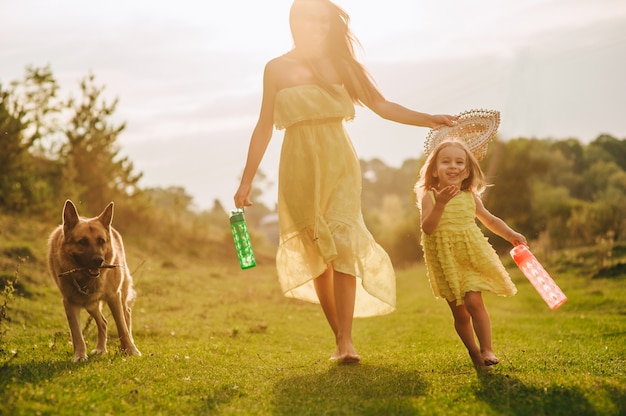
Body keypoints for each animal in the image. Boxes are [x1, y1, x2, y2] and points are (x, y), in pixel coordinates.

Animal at [47, 201, 140, 360]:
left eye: (101, 241)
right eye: (82, 242)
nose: (98, 260)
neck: (85, 278)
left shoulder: (114, 296)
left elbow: (121, 327)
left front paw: (130, 350)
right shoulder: (69, 303)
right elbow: (77, 334)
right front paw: (79, 356)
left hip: (119, 296)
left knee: (126, 316)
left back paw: (128, 343)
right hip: (90, 304)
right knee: (103, 322)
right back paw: (101, 349)